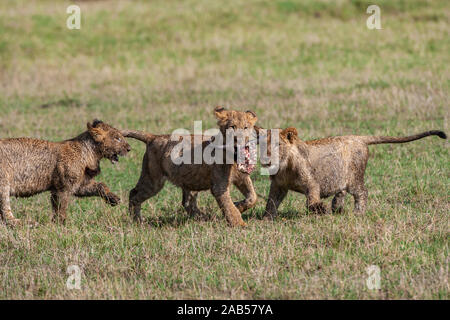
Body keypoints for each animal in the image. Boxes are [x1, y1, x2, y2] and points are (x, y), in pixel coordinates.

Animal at [0, 120, 131, 225]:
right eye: (117, 138)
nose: (129, 148)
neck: (90, 154)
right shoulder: (63, 187)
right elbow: (61, 206)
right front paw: (60, 224)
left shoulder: (79, 185)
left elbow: (101, 185)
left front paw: (113, 198)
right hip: (4, 181)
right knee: (5, 211)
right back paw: (23, 223)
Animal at [121, 106, 258, 226]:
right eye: (232, 127)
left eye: (246, 127)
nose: (240, 140)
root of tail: (153, 137)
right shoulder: (219, 186)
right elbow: (228, 206)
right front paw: (240, 224)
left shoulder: (242, 176)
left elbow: (253, 196)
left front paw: (240, 206)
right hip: (153, 180)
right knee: (134, 194)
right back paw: (138, 221)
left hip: (188, 180)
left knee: (186, 203)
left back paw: (202, 218)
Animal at [260, 127, 446, 218]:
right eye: (261, 144)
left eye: (278, 145)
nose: (265, 158)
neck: (284, 167)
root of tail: (359, 137)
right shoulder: (278, 186)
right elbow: (271, 202)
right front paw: (267, 218)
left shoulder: (311, 183)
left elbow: (311, 201)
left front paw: (320, 210)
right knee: (341, 191)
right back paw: (337, 207)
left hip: (354, 178)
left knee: (362, 192)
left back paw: (358, 213)